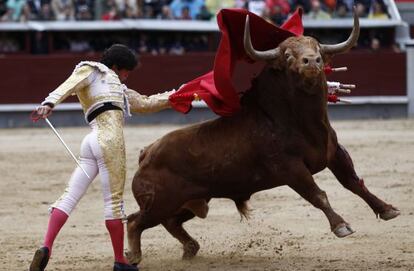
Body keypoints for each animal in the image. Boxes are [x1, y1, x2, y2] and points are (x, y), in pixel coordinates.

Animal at [127, 11, 402, 266]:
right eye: (288, 56)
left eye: (318, 51)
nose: (311, 62)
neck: (303, 123)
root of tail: (146, 153)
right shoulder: (290, 168)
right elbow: (318, 194)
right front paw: (341, 226)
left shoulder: (334, 153)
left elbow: (354, 182)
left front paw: (387, 209)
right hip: (160, 202)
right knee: (135, 222)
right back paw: (134, 256)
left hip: (193, 201)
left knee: (168, 222)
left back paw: (190, 249)